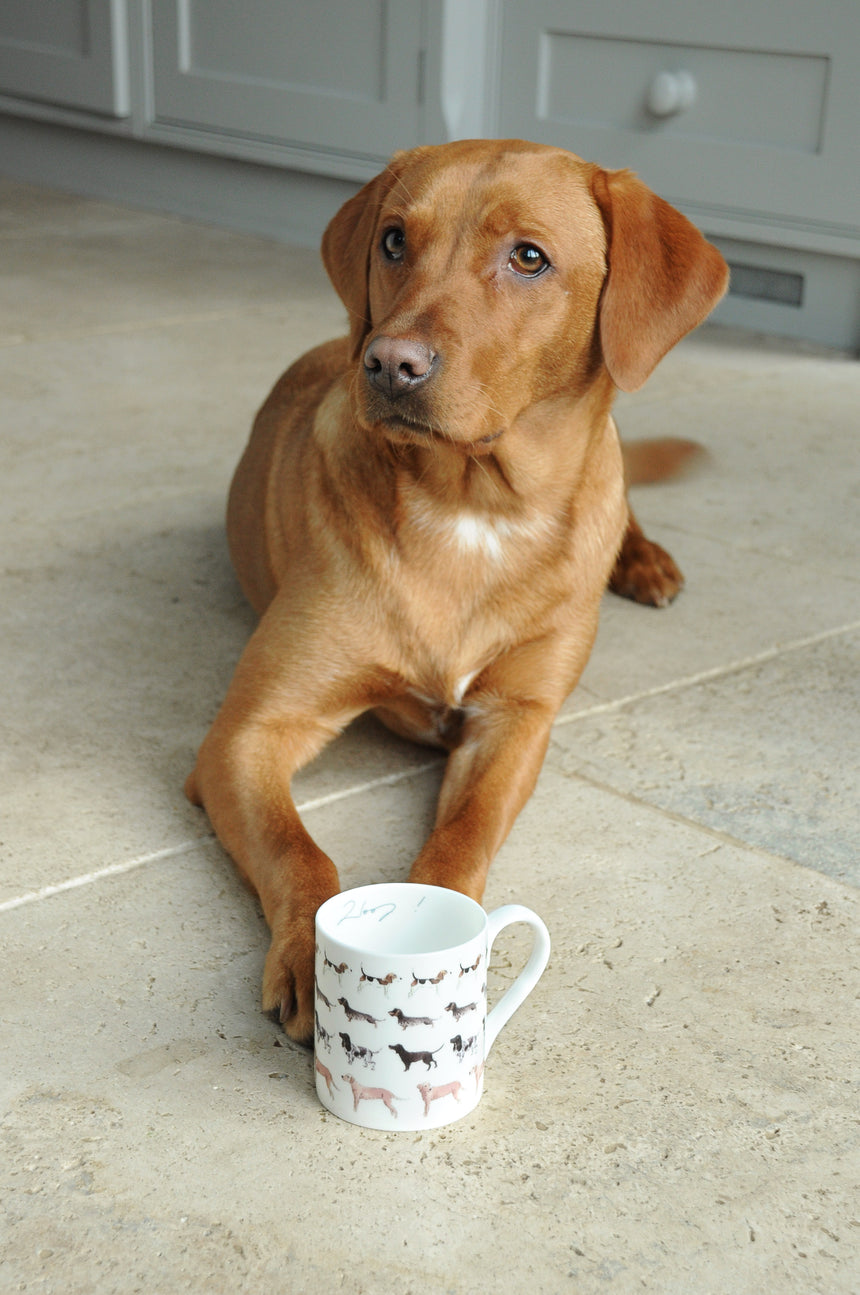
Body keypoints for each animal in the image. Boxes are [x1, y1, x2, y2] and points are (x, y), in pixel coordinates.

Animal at [185, 136, 730, 1041]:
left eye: (529, 257)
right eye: (394, 240)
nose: (388, 362)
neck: (473, 508)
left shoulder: (517, 721)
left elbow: (462, 838)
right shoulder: (248, 733)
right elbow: (301, 850)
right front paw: (310, 953)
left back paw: (645, 560)